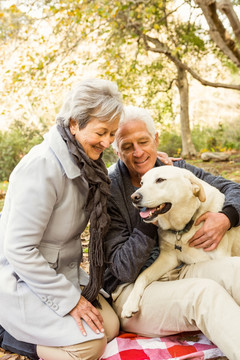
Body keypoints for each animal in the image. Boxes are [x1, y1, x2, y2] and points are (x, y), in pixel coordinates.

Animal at [122, 166, 240, 318]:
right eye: (142, 183)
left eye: (160, 180)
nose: (134, 197)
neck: (183, 228)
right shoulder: (168, 259)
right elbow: (142, 275)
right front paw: (130, 303)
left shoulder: (220, 257)